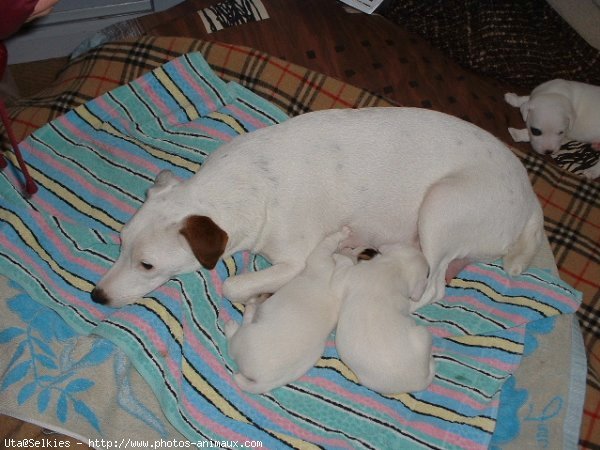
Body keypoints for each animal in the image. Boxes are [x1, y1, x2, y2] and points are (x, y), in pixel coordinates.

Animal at [92, 106, 544, 310]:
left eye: (147, 265)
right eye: (119, 243)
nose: (96, 296)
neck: (244, 185)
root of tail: (530, 197)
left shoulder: (293, 258)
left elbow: (232, 284)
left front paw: (257, 291)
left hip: (441, 205)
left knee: (434, 288)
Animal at [223, 227, 350, 392]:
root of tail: (263, 383)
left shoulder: (320, 257)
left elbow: (327, 243)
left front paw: (343, 234)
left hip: (243, 339)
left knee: (234, 343)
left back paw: (238, 321)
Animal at [332, 244, 436, 396]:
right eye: (428, 272)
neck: (395, 266)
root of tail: (419, 381)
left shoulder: (346, 276)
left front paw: (340, 254)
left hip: (423, 333)